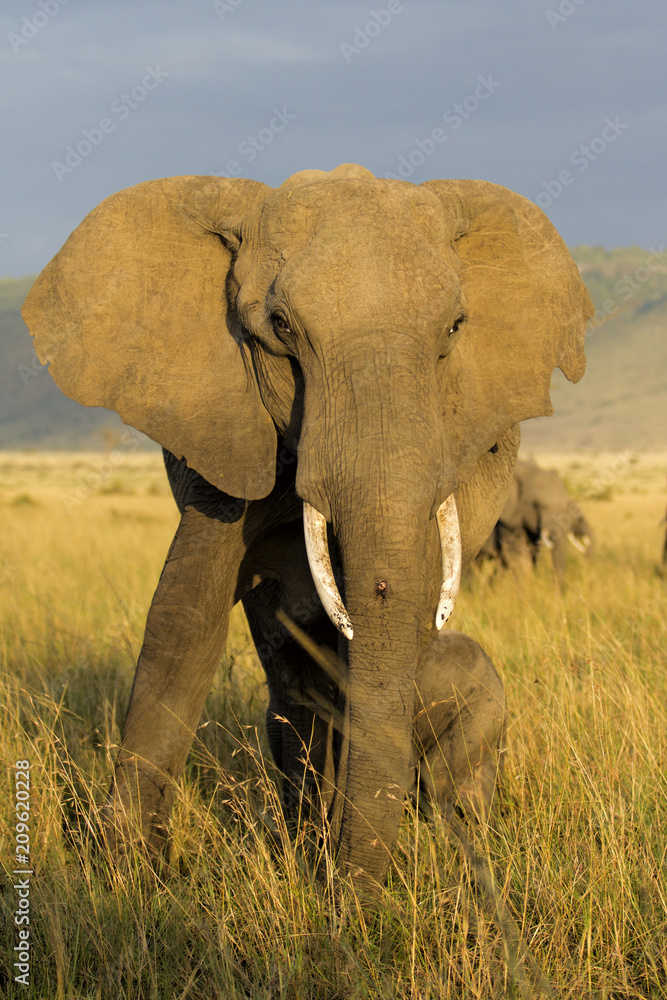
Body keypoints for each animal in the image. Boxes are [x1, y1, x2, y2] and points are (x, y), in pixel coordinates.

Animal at [22, 164, 593, 894]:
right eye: (280, 327)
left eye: (455, 327)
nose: (353, 902)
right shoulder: (226, 420)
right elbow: (188, 608)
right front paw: (129, 876)